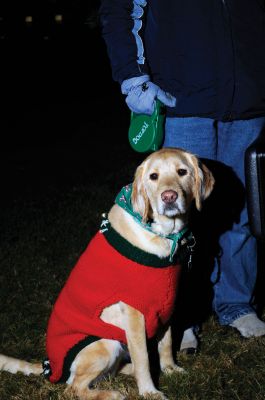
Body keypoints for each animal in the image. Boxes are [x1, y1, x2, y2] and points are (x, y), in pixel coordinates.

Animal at [0, 148, 212, 400]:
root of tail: (50, 365)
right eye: (153, 176)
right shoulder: (135, 314)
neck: (161, 234)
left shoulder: (165, 305)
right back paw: (112, 393)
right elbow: (143, 357)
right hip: (105, 343)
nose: (169, 196)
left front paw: (170, 369)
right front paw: (149, 391)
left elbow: (167, 344)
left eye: (182, 172)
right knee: (74, 388)